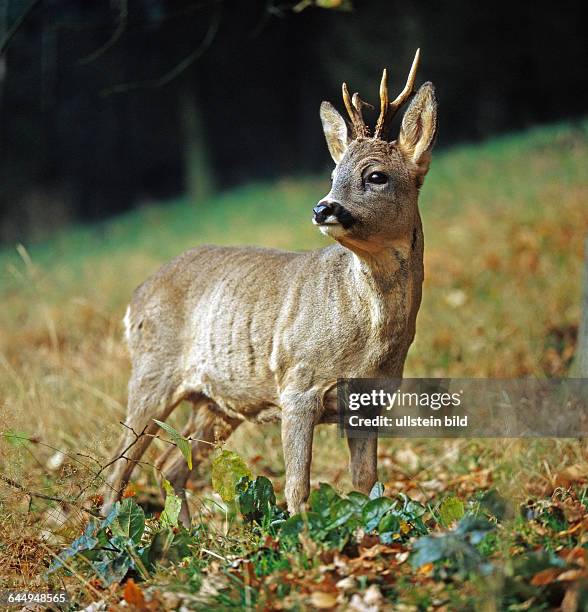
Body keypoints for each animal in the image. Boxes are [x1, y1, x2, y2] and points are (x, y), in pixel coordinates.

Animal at [104, 49, 436, 524]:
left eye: (375, 176)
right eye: (334, 173)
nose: (323, 208)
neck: (369, 337)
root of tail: (134, 299)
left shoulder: (369, 403)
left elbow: (366, 485)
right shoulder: (297, 383)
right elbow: (297, 487)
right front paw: (303, 538)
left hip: (216, 402)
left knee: (170, 465)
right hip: (152, 374)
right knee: (118, 468)